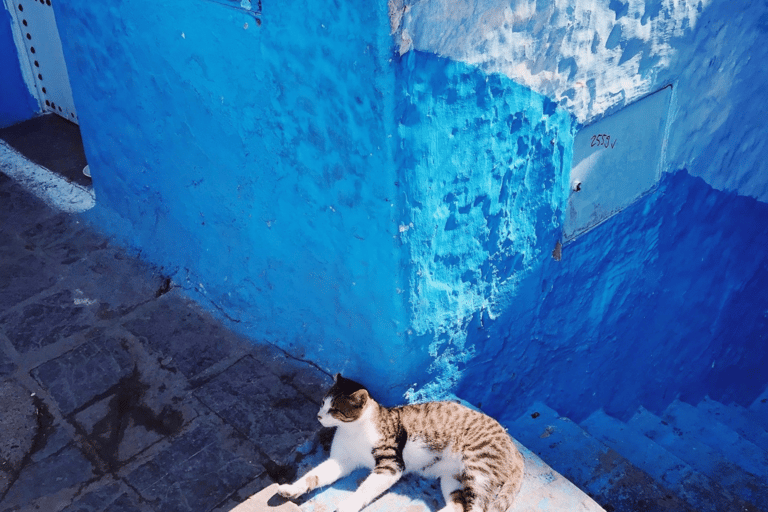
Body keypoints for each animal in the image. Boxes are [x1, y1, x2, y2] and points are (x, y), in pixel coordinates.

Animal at [280, 372, 524, 512]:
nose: (319, 416)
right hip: (454, 477)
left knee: (478, 507)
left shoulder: (391, 465)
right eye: (323, 403)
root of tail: (513, 445)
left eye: (335, 410)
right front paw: (293, 488)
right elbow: (314, 475)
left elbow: (365, 490)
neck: (354, 430)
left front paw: (348, 505)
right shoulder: (341, 460)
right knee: (458, 505)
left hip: (479, 469)